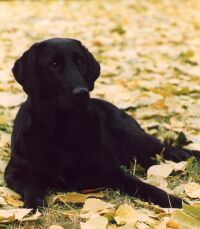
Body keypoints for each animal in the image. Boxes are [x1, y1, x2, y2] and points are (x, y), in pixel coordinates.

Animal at [3, 38, 198, 209]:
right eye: (54, 64)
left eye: (80, 61)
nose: (81, 92)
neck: (63, 128)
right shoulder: (15, 171)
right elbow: (32, 186)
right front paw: (33, 207)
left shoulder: (112, 170)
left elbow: (144, 186)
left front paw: (177, 203)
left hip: (138, 141)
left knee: (176, 151)